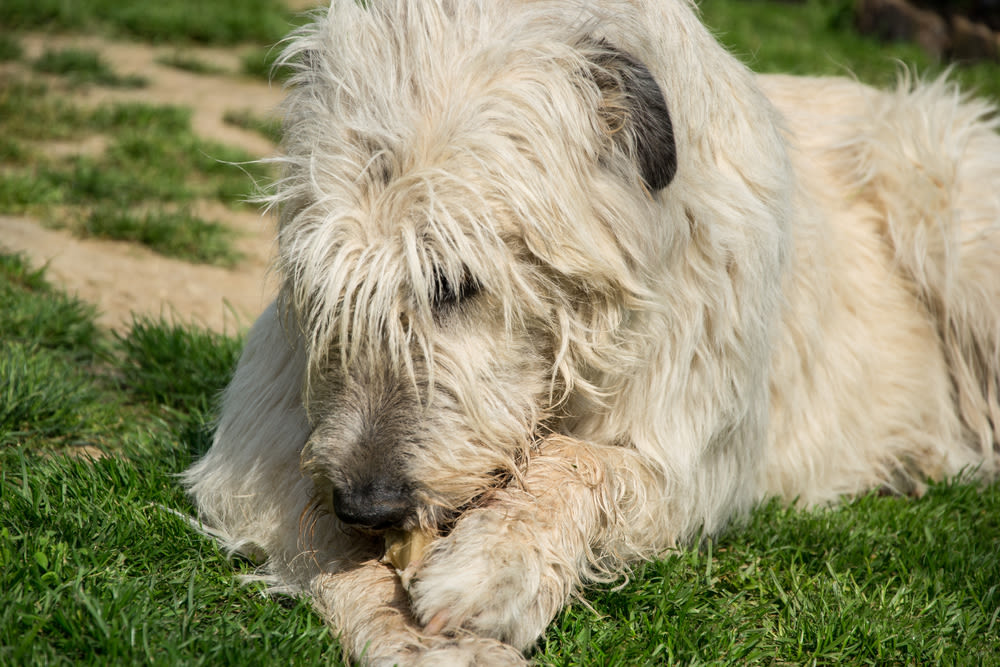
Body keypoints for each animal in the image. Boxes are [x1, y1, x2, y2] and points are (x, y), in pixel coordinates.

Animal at [182, 0, 1000, 664]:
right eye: (329, 284)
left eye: (456, 281)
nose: (367, 503)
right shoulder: (262, 446)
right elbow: (303, 520)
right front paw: (409, 634)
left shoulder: (696, 445)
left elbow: (585, 461)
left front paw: (495, 565)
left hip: (945, 195)